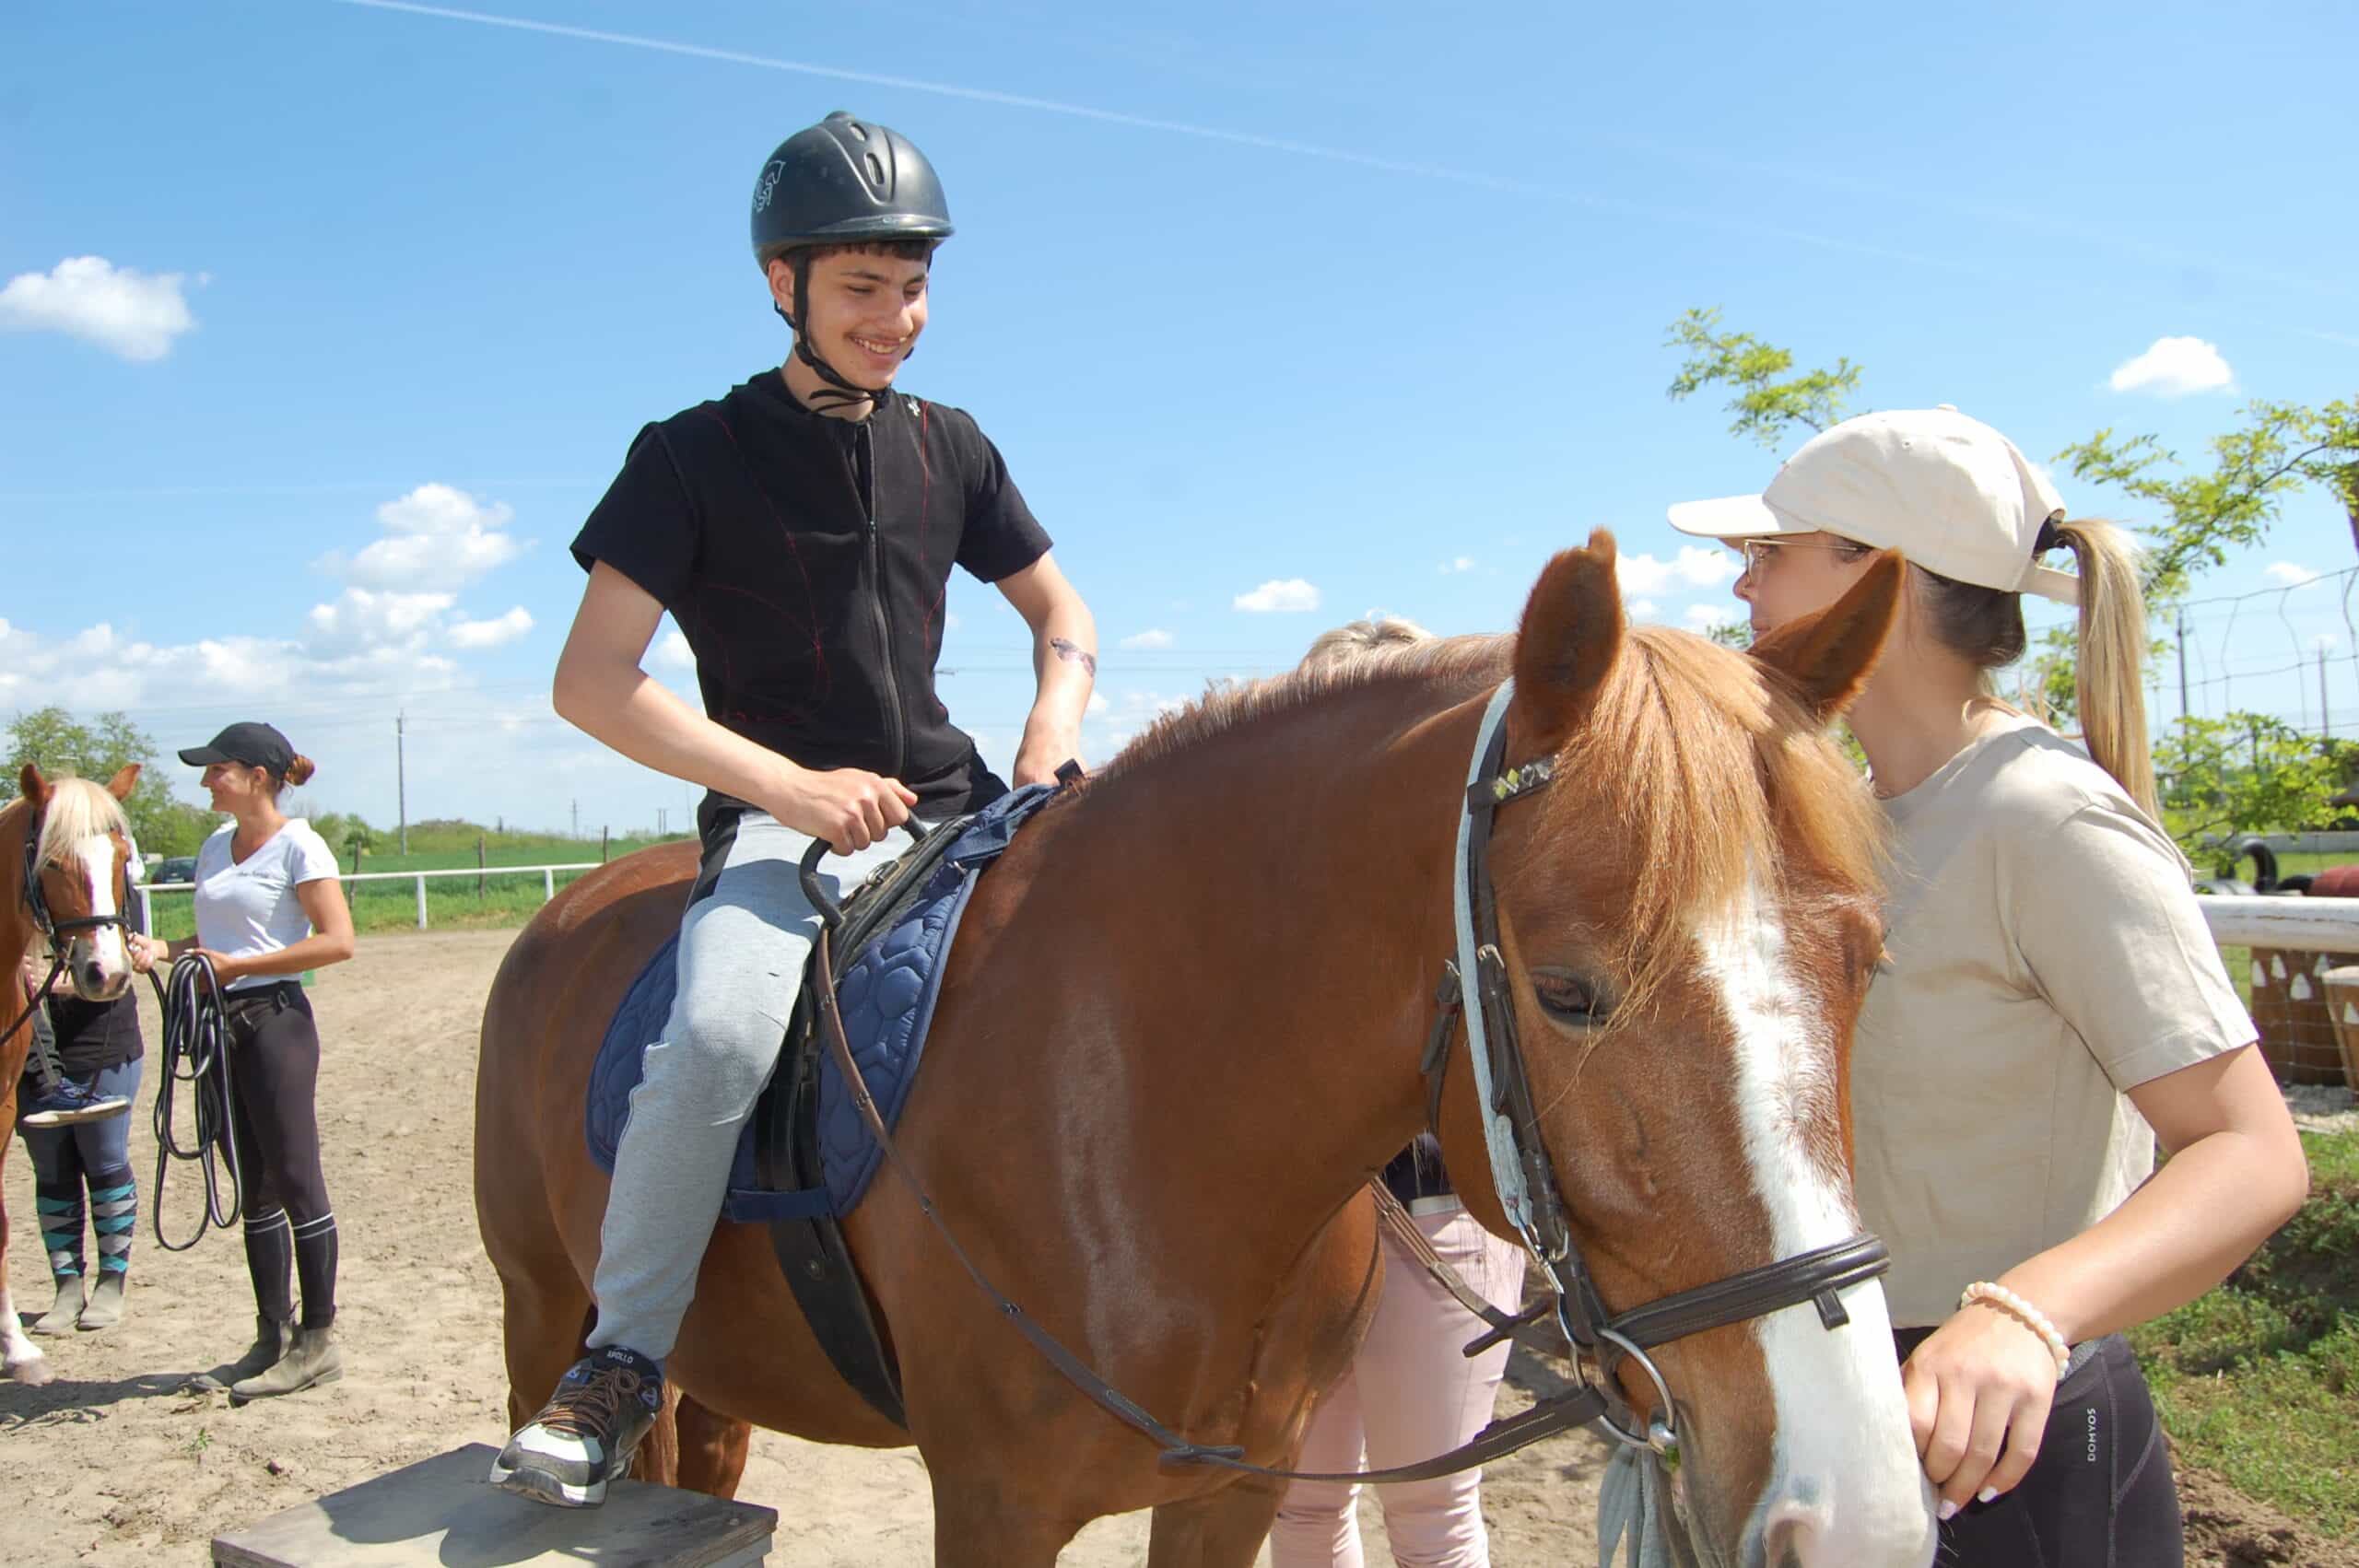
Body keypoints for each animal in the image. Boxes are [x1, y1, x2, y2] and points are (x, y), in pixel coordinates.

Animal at [477, 533, 1939, 1567]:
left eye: (1867, 964)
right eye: (1573, 992)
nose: (1860, 1518)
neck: (1131, 1120)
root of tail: (565, 910)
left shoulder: (1236, 1493)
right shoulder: (992, 1508)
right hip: (541, 1305)